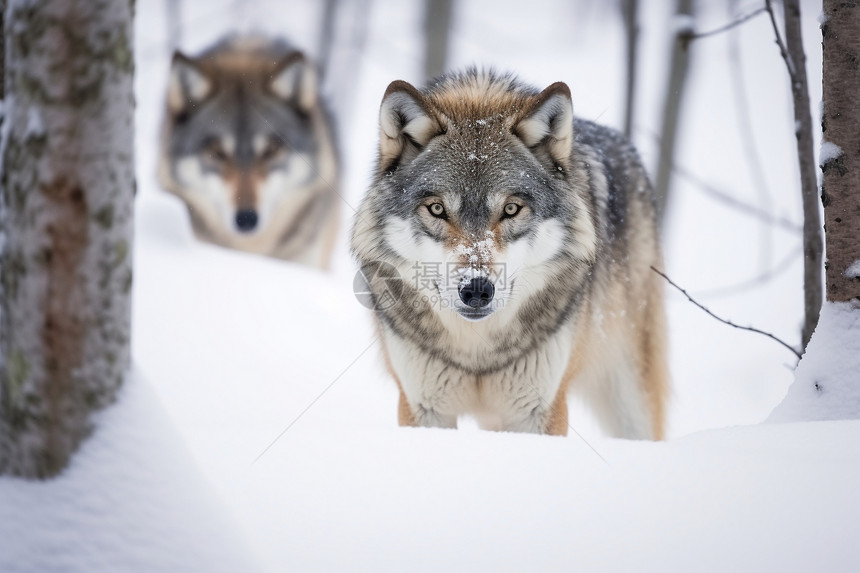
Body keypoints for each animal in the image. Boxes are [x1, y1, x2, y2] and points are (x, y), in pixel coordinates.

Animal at [352, 71, 672, 438]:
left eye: (510, 209)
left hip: (630, 401)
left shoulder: (538, 413)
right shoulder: (423, 409)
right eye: (436, 209)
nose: (476, 289)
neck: (477, 351)